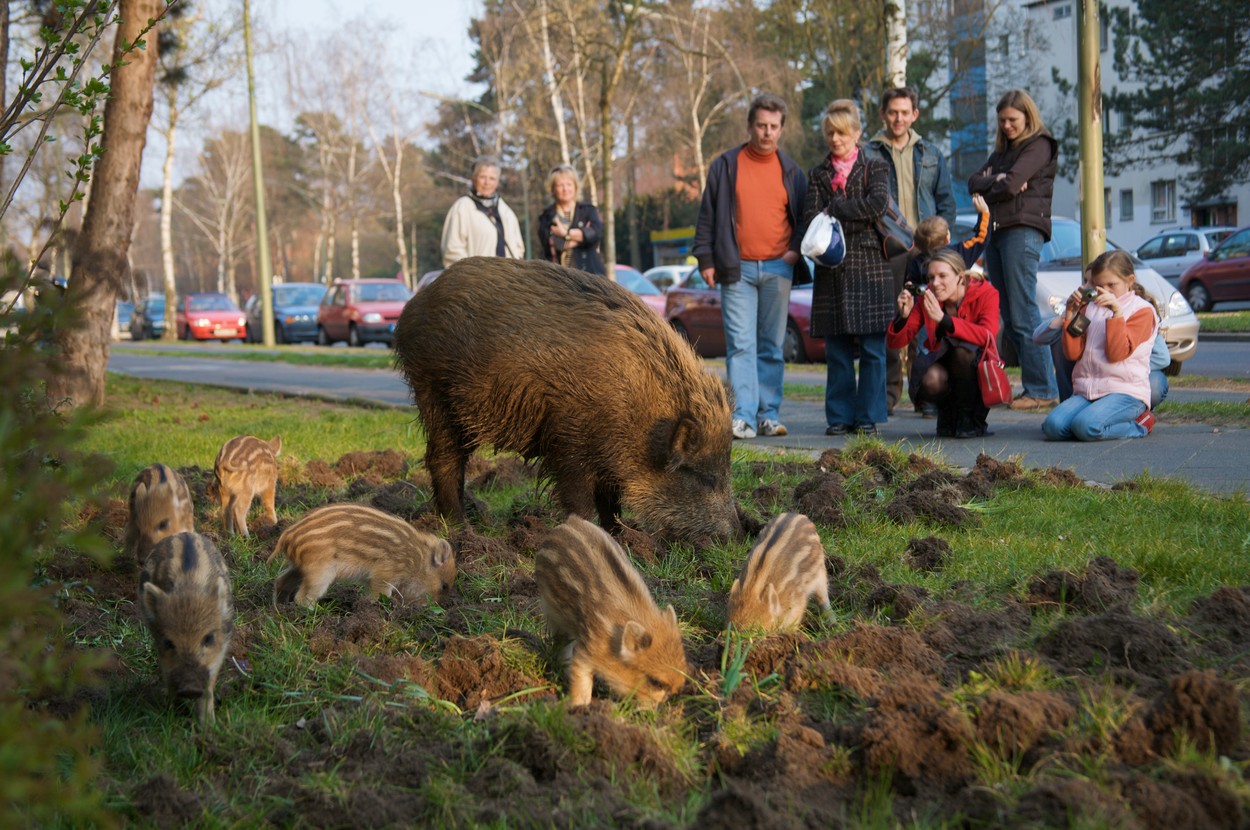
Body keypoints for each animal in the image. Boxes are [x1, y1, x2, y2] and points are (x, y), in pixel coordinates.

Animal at [137, 531, 235, 725]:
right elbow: (168, 675)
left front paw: (208, 725)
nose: (190, 688)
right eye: (168, 642)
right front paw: (172, 715)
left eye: (208, 638)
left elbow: (209, 684)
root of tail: (183, 533)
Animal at [268, 503, 456, 608]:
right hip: (320, 572)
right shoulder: (385, 573)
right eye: (444, 586)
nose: (429, 608)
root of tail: (287, 536)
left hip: (299, 567)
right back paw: (318, 611)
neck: (418, 559)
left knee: (281, 581)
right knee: (302, 597)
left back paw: (280, 608)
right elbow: (380, 593)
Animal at [393, 257, 739, 544]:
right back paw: (462, 530)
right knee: (443, 459)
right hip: (434, 393)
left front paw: (620, 538)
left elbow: (610, 501)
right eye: (704, 477)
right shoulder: (569, 443)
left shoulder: (608, 457)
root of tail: (410, 311)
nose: (734, 535)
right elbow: (581, 499)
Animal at [534, 516, 688, 707]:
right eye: (656, 682)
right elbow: (581, 681)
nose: (653, 710)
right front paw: (579, 707)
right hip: (552, 611)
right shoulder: (588, 650)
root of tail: (571, 520)